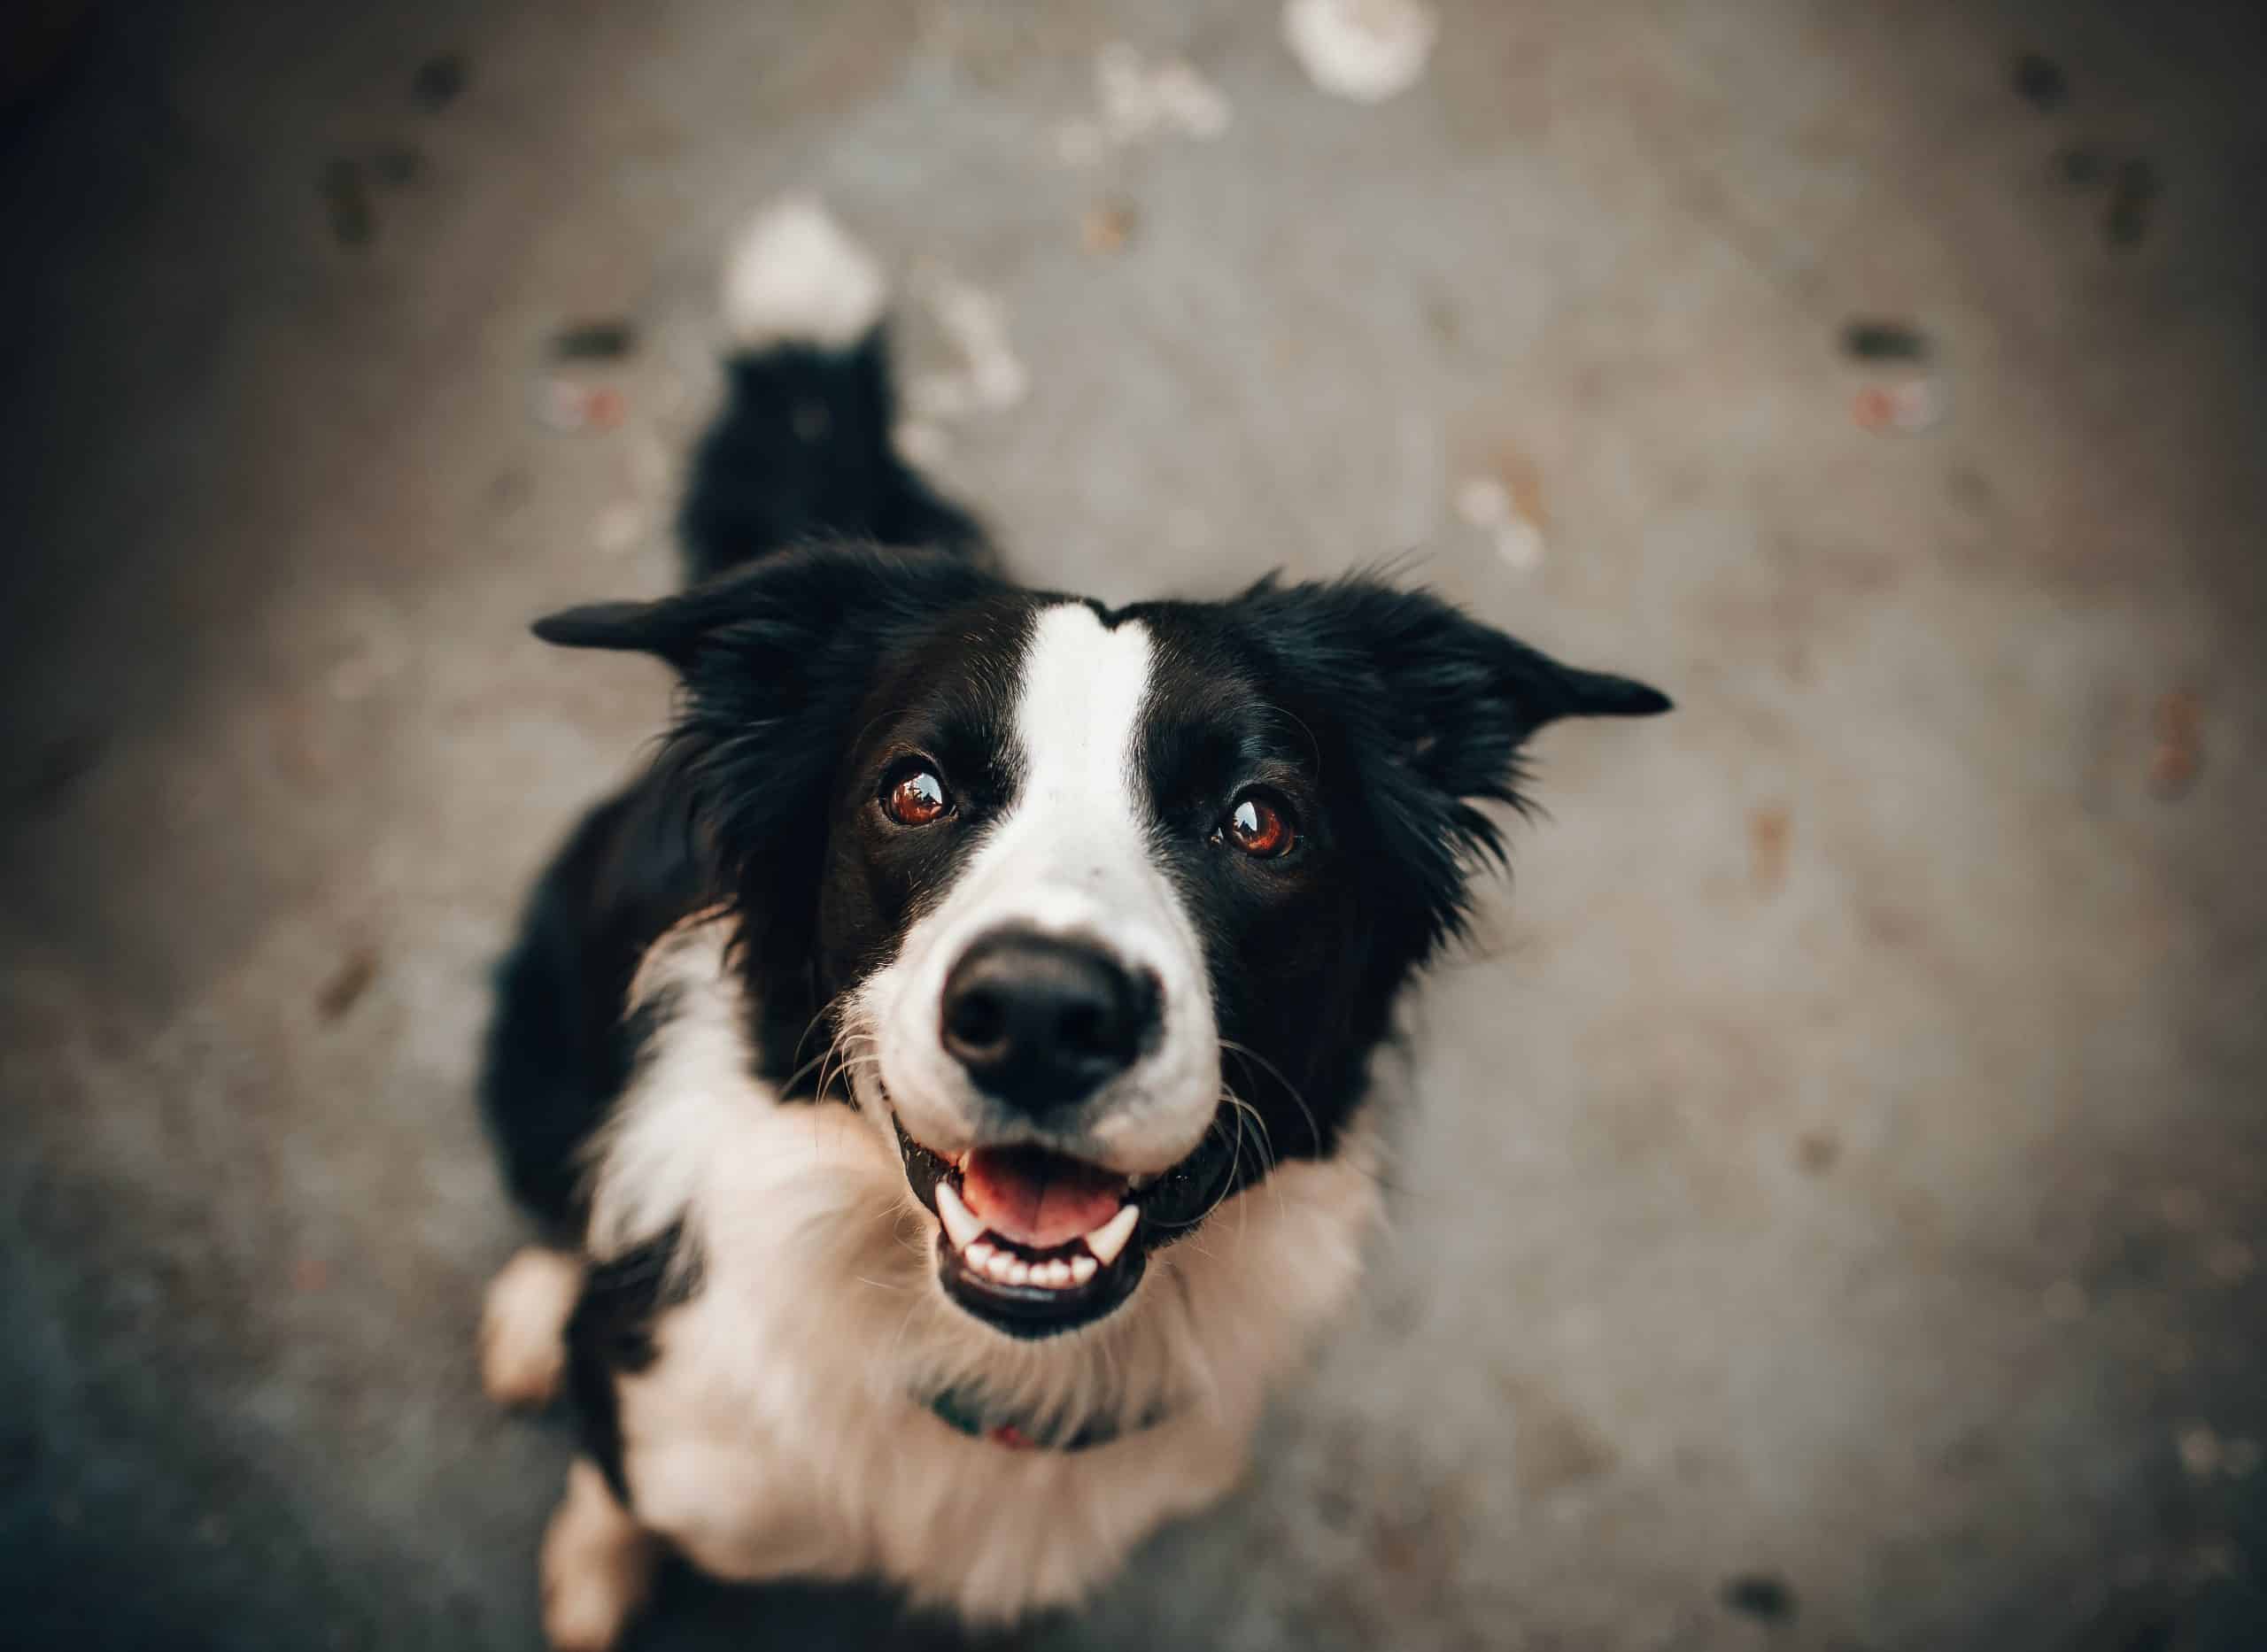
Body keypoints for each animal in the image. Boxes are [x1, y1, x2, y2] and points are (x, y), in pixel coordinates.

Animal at [478, 199, 1677, 1640]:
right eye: (916, 789)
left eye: (1259, 819)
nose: (1045, 1015)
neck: (990, 1367)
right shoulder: (673, 1432)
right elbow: (614, 1483)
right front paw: (594, 1571)